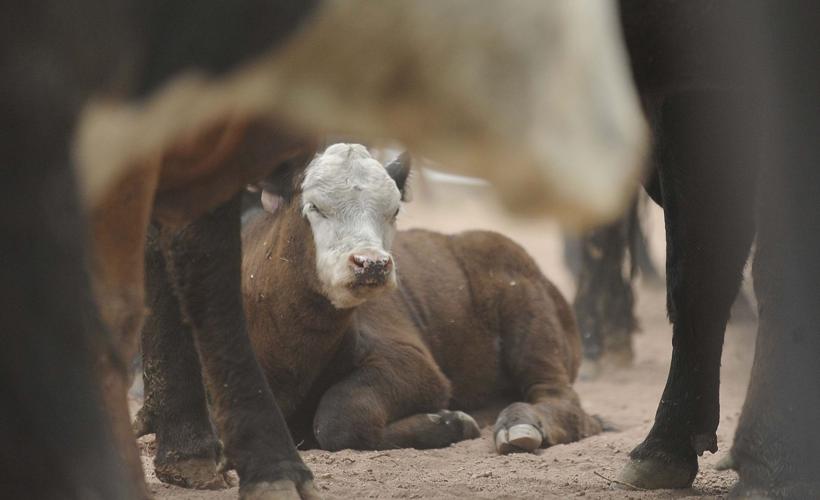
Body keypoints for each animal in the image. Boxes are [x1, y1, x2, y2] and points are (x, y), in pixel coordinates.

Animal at [239, 144, 602, 455]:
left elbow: (340, 417)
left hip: (533, 328)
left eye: (394, 210)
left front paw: (449, 422)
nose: (372, 263)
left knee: (561, 399)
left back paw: (519, 425)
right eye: (314, 206)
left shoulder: (414, 364)